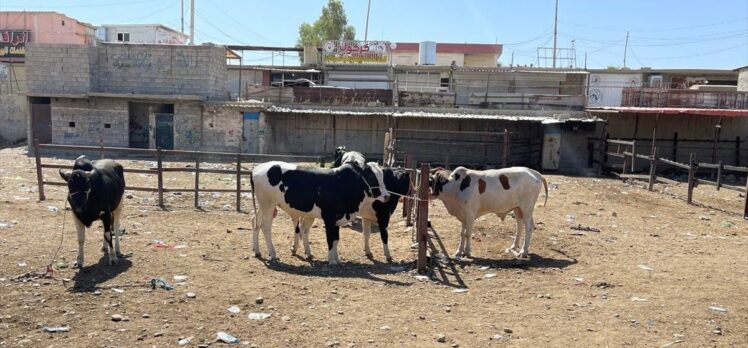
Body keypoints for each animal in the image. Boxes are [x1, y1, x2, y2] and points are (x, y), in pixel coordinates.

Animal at [253, 160, 392, 264]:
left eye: (382, 177)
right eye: (371, 177)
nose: (387, 196)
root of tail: (257, 168)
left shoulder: (337, 218)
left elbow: (336, 239)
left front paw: (337, 259)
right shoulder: (329, 218)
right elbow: (330, 239)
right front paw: (332, 261)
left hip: (263, 206)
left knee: (256, 223)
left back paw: (257, 251)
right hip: (268, 205)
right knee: (266, 227)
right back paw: (273, 254)